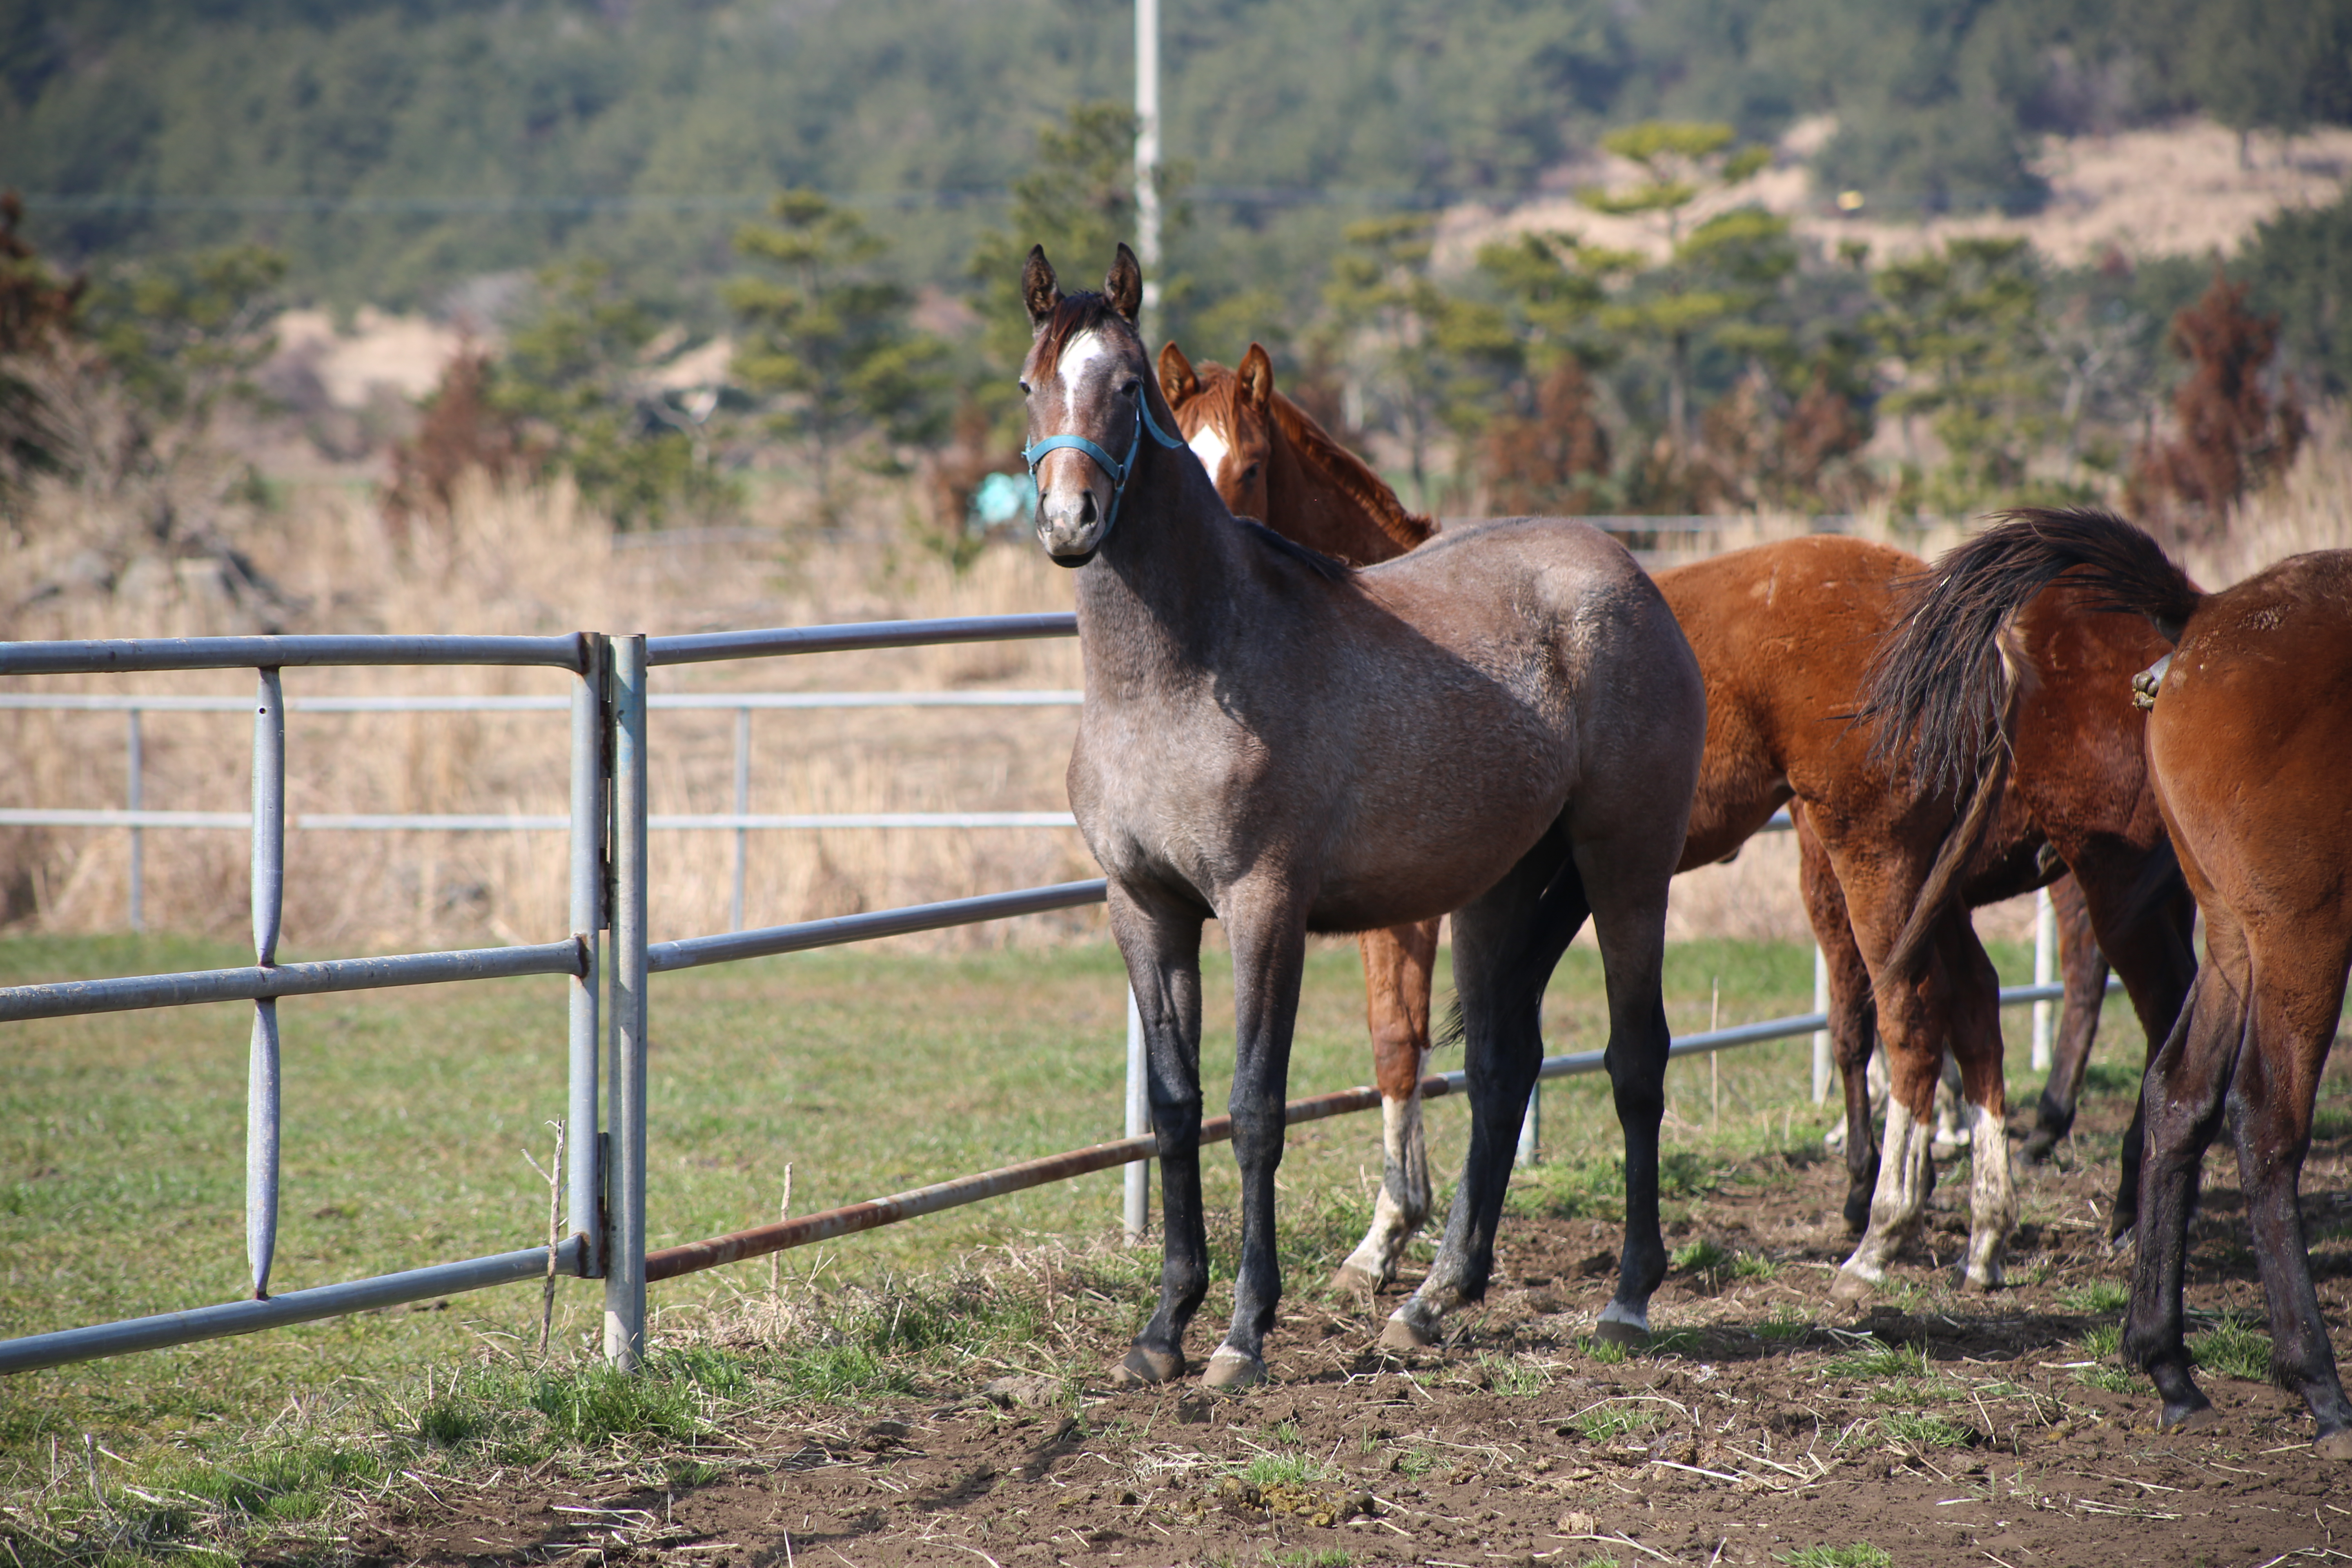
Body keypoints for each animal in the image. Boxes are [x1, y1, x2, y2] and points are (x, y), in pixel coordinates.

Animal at [1020, 242, 1703, 1382]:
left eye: (1124, 386)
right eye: (1030, 385)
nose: (1071, 520)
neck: (1183, 671)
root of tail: (1628, 576)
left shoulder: (1265, 909)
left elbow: (1255, 1109)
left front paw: (1242, 1334)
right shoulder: (1143, 907)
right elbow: (1175, 1109)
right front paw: (1163, 1327)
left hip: (1626, 866)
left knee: (1635, 1057)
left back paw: (1627, 1298)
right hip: (1501, 887)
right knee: (1499, 1065)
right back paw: (1433, 1298)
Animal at [1166, 345, 2192, 1316]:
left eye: (1251, 465)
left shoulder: (1410, 908)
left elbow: (1397, 1045)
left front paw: (1386, 1237)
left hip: (1900, 864)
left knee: (1925, 1020)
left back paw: (1886, 1236)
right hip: (1929, 875)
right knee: (1974, 1011)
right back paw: (1983, 1232)